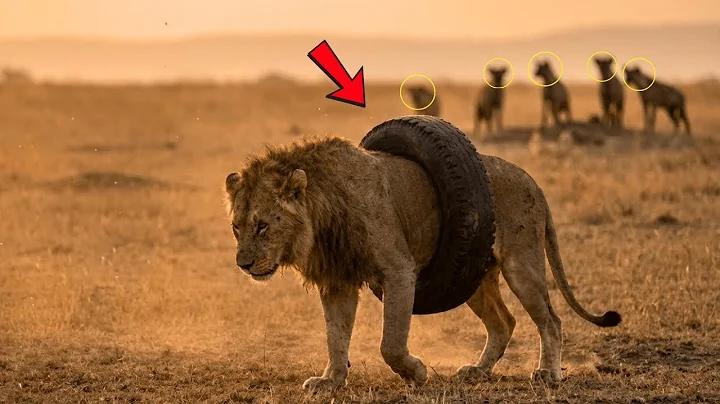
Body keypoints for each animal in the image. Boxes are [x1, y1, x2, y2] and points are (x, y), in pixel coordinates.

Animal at [224, 135, 621, 392]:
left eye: (262, 225)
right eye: (236, 227)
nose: (244, 264)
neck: (322, 213)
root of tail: (532, 181)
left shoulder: (399, 270)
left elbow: (391, 343)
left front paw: (416, 372)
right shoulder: (337, 280)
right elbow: (335, 336)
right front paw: (331, 381)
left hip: (521, 264)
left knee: (550, 320)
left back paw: (548, 374)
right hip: (470, 278)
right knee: (504, 322)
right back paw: (478, 371)